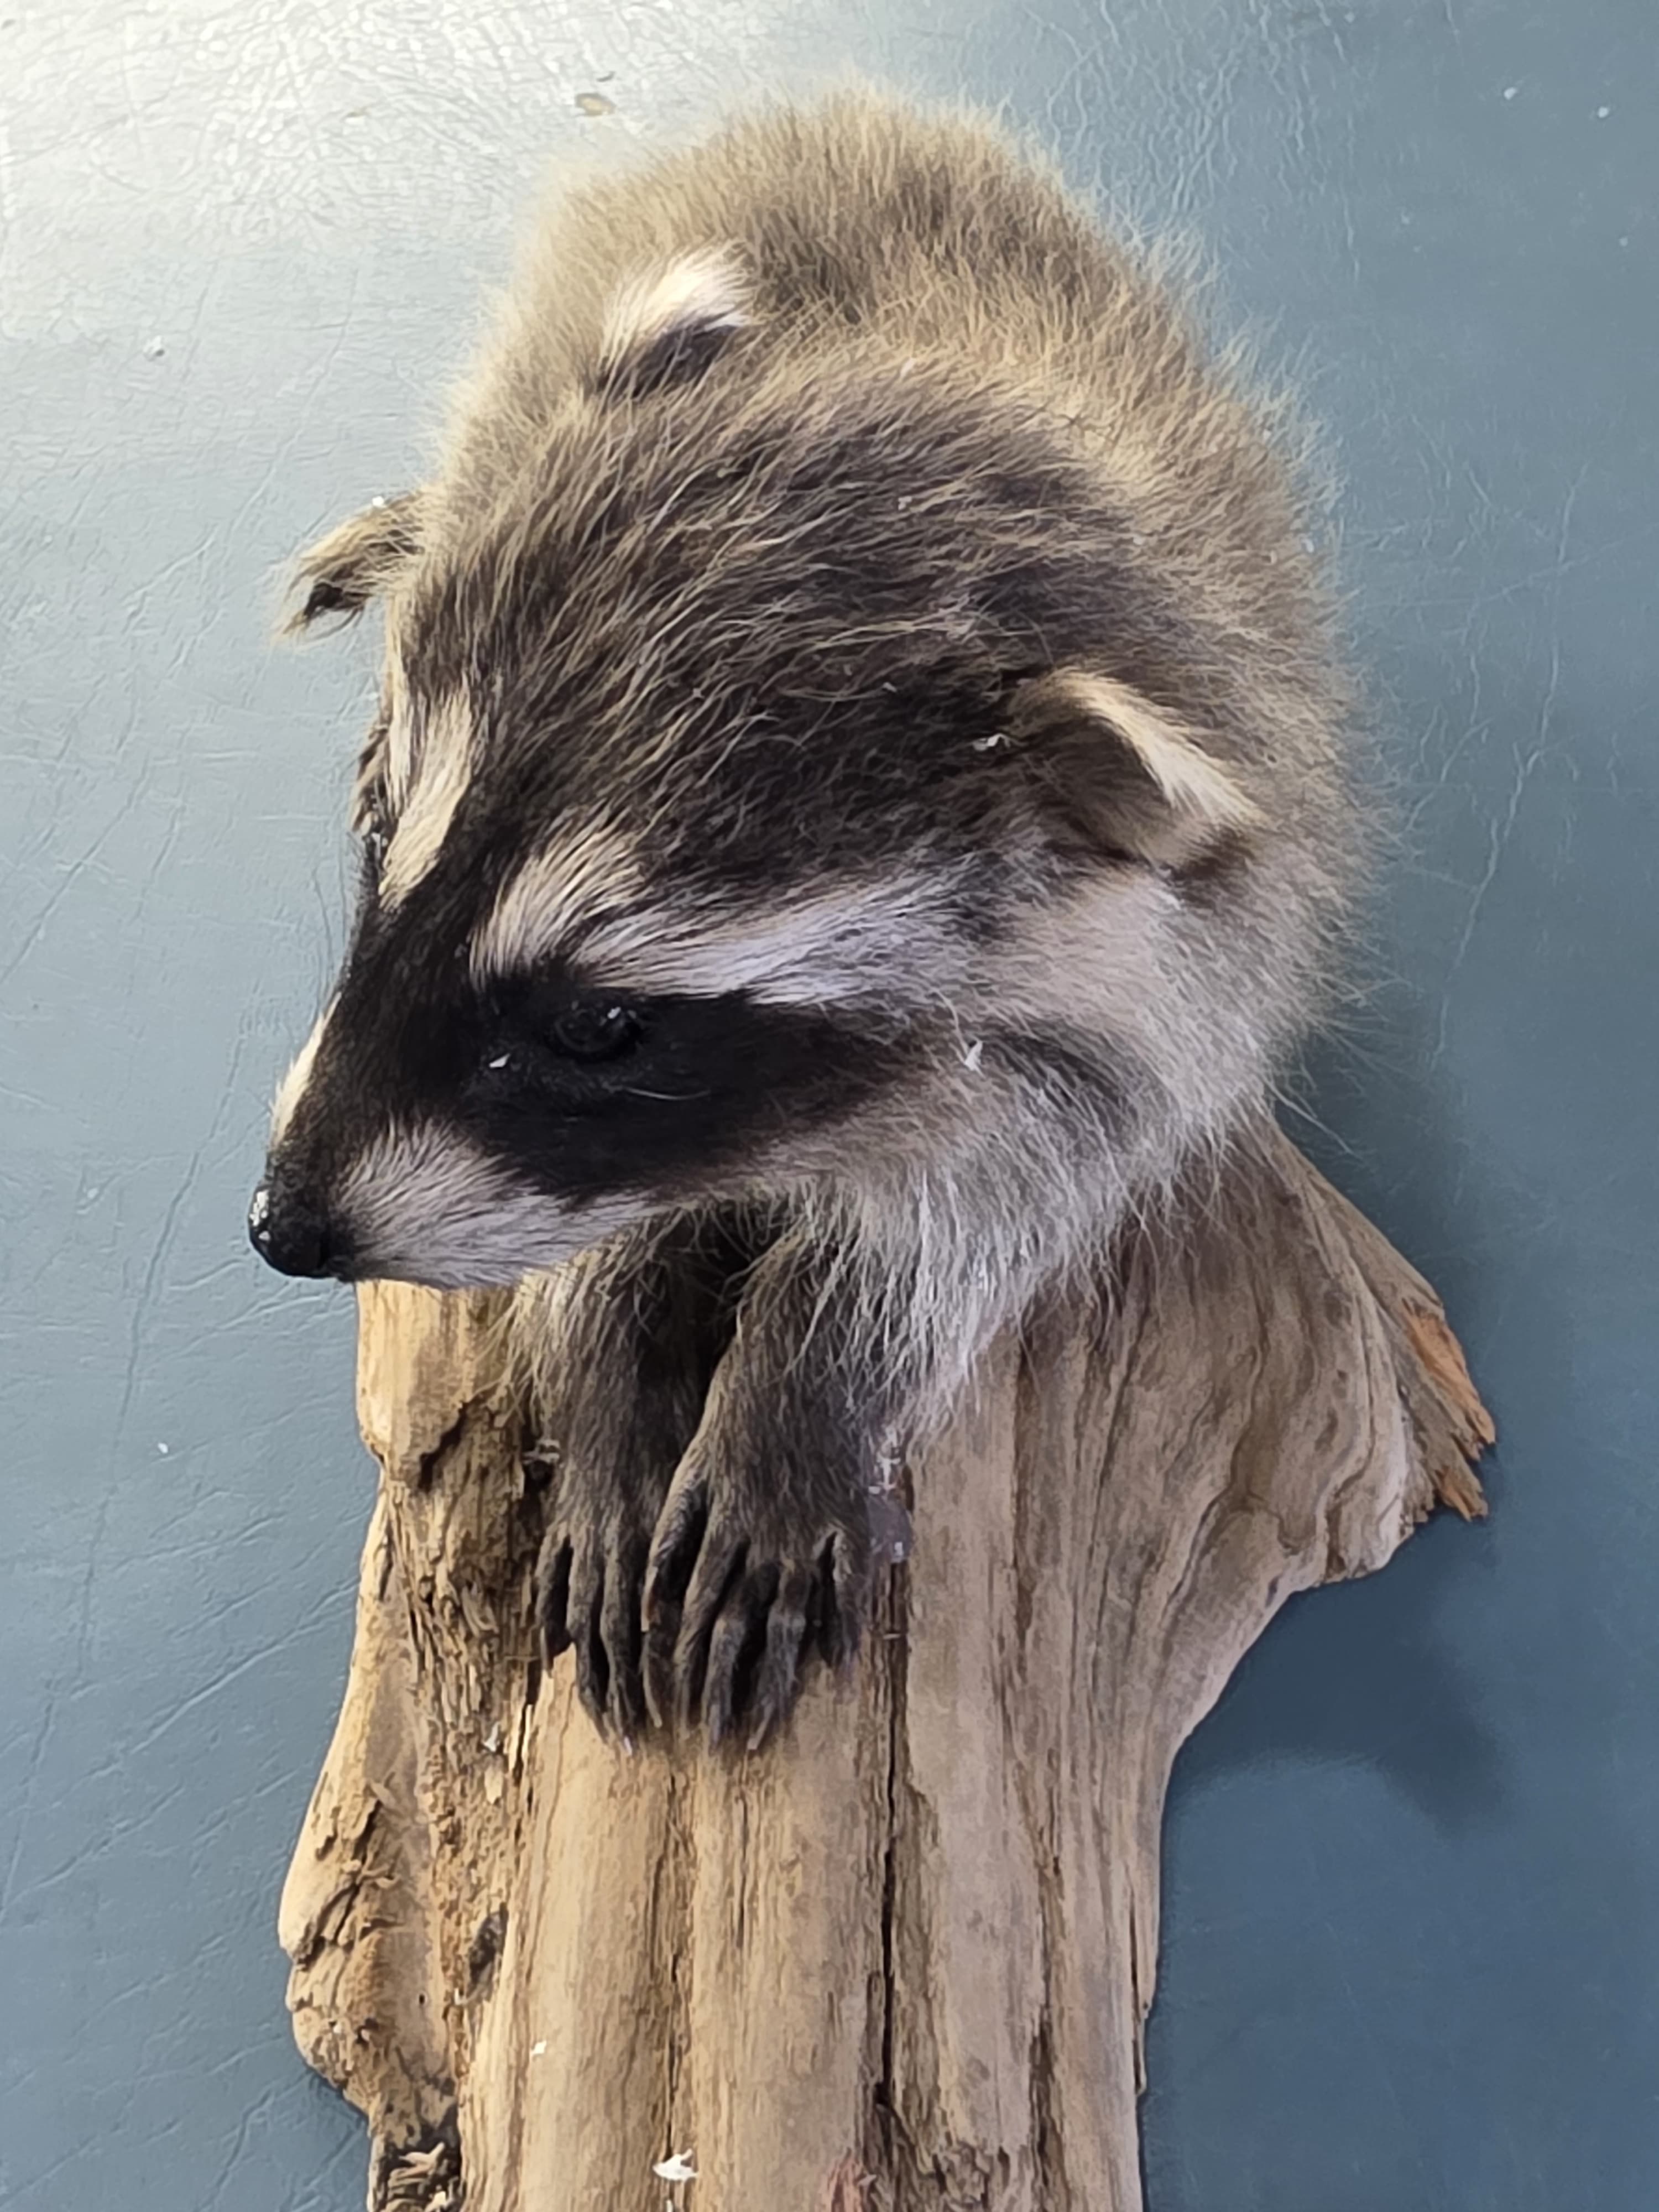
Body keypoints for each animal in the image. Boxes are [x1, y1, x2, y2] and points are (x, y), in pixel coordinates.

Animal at [250, 93, 1359, 1748]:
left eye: (602, 1024)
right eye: (387, 837)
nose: (281, 1225)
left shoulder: (1184, 973)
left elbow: (992, 1205)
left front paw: (807, 1379)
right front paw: (611, 1347)